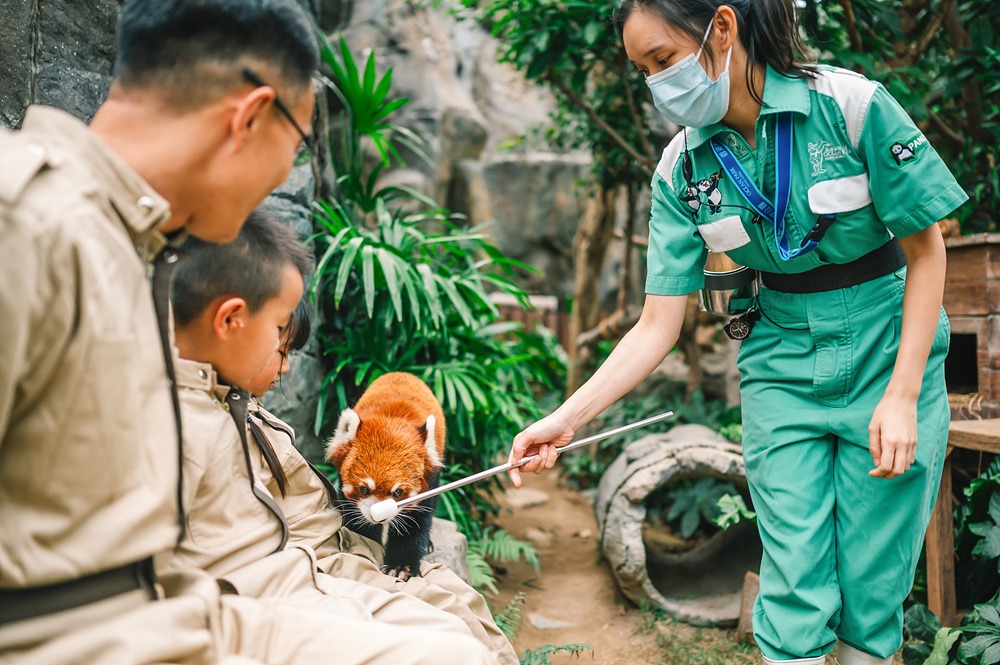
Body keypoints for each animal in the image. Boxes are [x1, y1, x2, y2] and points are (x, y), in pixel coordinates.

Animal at [326, 370, 444, 580]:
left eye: (398, 493)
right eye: (364, 489)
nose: (379, 518)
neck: (392, 419)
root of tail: (403, 373)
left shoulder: (428, 482)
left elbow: (414, 525)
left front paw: (401, 566)